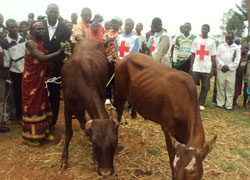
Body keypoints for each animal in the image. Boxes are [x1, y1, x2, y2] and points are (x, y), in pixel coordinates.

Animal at [60, 38, 119, 176]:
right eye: (95, 143)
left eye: (114, 143)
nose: (106, 172)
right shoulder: (67, 106)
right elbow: (68, 133)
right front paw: (64, 161)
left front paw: (95, 160)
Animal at [114, 51, 216, 179]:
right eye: (176, 167)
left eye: (192, 171)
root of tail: (124, 58)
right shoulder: (167, 129)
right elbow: (171, 158)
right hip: (119, 95)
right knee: (116, 119)